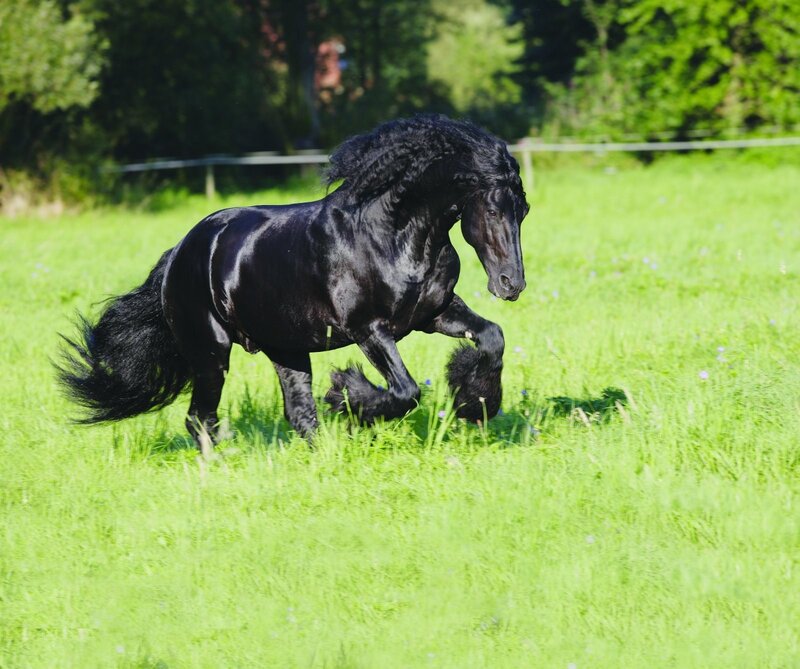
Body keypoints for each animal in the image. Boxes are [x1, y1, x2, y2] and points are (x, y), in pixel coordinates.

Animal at [57, 115, 529, 448]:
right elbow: (405, 391)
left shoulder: (434, 313)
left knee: (298, 413)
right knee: (200, 419)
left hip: (286, 349)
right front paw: (346, 395)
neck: (393, 234)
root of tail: (180, 254)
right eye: (491, 210)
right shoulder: (369, 330)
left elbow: (492, 338)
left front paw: (477, 404)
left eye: (522, 210)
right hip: (211, 353)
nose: (511, 284)